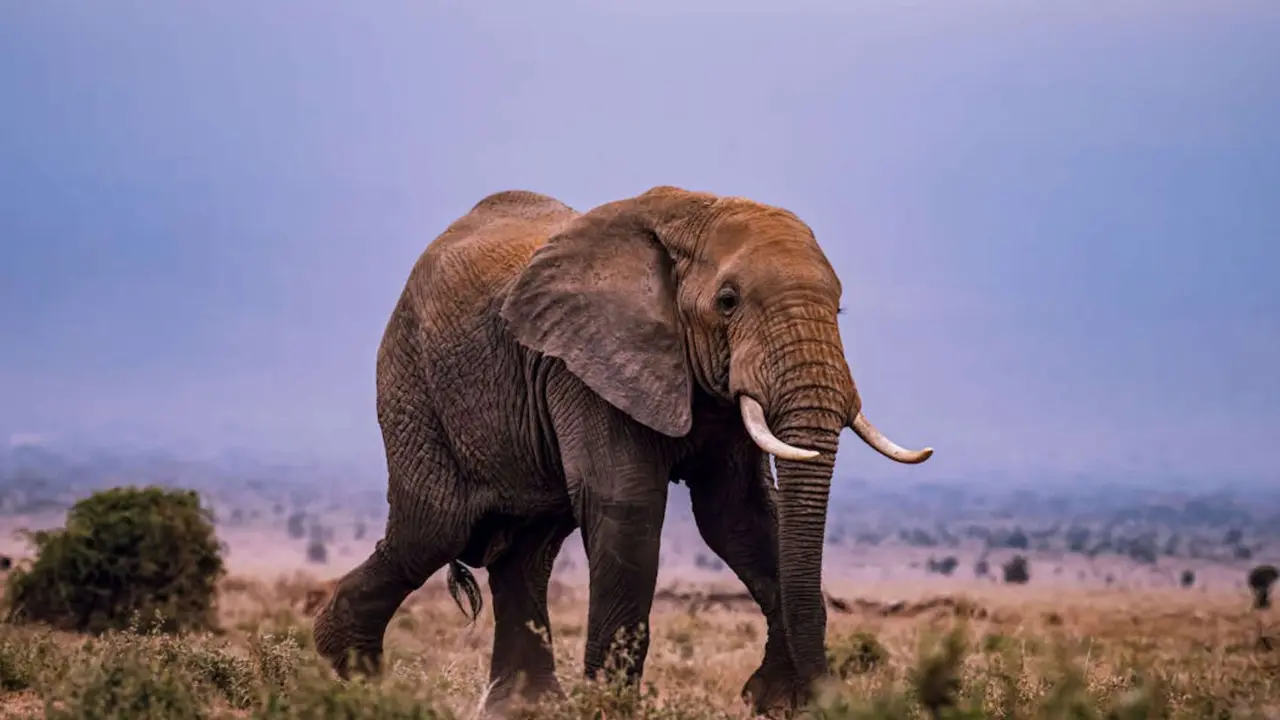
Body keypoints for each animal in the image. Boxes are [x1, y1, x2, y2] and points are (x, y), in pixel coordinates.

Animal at [312, 185, 934, 716]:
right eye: (728, 301)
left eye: (840, 309)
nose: (825, 700)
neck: (694, 214)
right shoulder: (585, 364)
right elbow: (628, 506)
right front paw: (609, 709)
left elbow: (742, 517)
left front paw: (775, 703)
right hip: (412, 381)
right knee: (435, 527)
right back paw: (348, 676)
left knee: (526, 553)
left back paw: (524, 709)